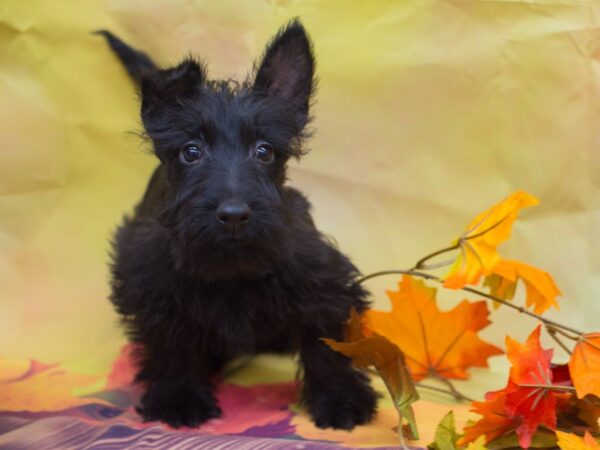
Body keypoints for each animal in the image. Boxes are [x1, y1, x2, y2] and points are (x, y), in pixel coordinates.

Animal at [101, 20, 378, 428]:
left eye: (264, 150)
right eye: (191, 151)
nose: (234, 214)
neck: (230, 267)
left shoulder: (322, 284)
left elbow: (327, 343)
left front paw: (341, 400)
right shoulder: (154, 290)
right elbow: (171, 345)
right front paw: (179, 400)